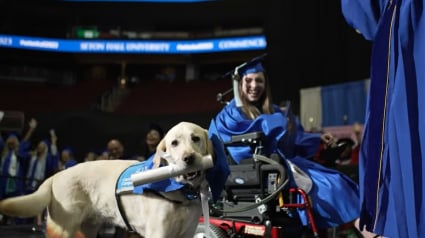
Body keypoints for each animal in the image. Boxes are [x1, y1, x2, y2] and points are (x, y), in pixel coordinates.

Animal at [0, 122, 212, 238]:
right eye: (174, 143)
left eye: (195, 138)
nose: (188, 158)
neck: (180, 192)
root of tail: (56, 175)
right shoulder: (158, 233)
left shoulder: (187, 233)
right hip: (62, 229)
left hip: (85, 230)